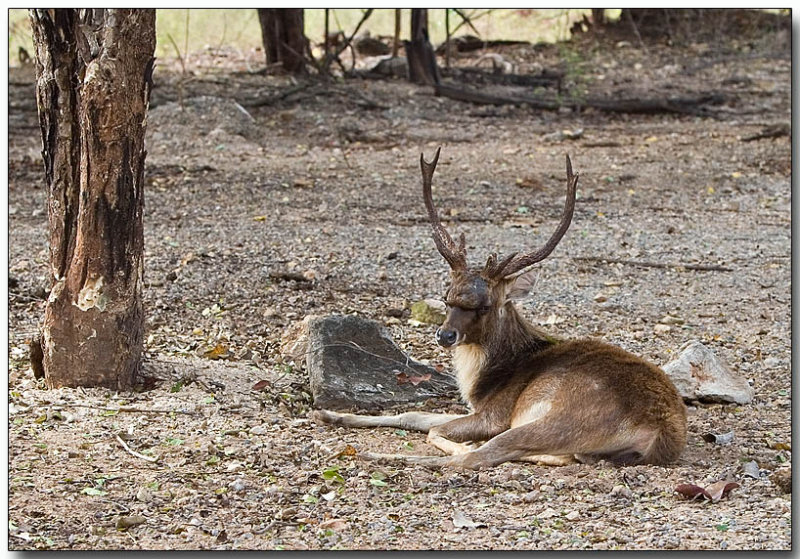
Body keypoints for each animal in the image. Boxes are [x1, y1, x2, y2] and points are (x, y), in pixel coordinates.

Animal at [312, 147, 688, 470]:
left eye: (485, 305)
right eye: (446, 296)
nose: (445, 335)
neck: (483, 382)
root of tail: (657, 432)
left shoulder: (495, 413)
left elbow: (434, 429)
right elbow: (414, 416)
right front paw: (328, 415)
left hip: (556, 419)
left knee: (478, 457)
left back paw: (376, 455)